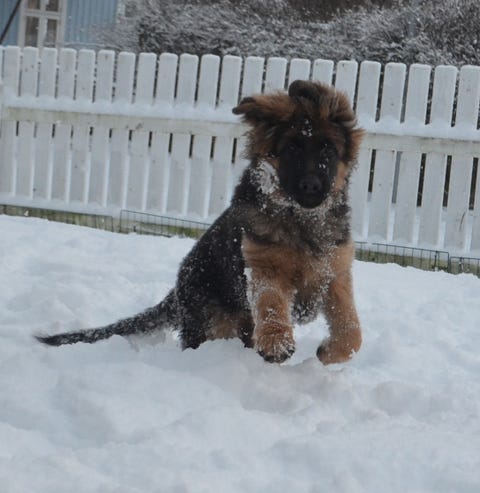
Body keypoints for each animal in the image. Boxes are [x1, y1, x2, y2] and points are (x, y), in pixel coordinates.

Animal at [36, 80, 364, 365]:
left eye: (328, 149)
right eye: (292, 149)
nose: (311, 186)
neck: (301, 220)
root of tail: (177, 291)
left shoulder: (336, 271)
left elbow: (351, 330)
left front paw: (329, 352)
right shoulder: (262, 266)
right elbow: (271, 304)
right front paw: (276, 342)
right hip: (212, 324)